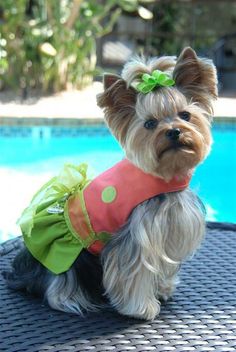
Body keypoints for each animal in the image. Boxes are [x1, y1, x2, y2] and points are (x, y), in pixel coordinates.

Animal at [5, 48, 218, 320]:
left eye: (185, 115)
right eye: (149, 124)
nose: (174, 131)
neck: (165, 176)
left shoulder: (169, 230)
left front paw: (163, 289)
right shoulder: (136, 236)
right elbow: (134, 271)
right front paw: (143, 308)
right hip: (68, 259)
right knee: (58, 289)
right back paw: (72, 300)